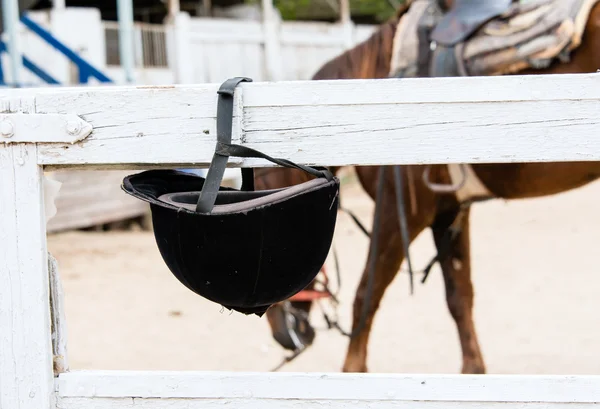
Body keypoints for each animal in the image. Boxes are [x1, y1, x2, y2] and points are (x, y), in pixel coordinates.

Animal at [255, 0, 600, 374]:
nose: (283, 335)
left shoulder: (400, 212)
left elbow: (366, 295)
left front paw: (354, 370)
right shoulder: (448, 211)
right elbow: (459, 296)